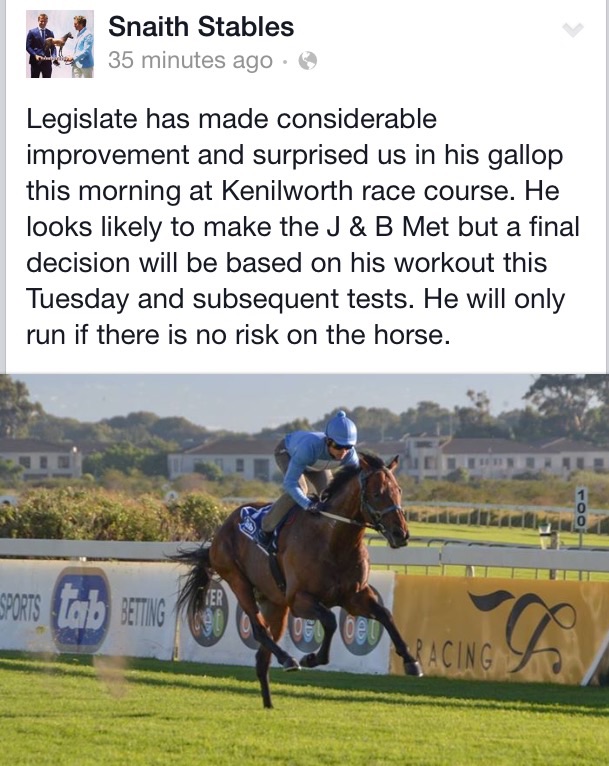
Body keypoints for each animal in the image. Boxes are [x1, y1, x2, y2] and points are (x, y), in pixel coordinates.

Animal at [172, 451, 423, 708]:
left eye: (398, 490)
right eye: (377, 493)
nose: (401, 534)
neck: (333, 540)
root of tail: (222, 529)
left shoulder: (354, 597)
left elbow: (385, 614)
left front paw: (411, 661)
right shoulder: (299, 599)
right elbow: (330, 620)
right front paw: (312, 658)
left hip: (274, 603)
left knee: (261, 657)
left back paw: (269, 703)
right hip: (238, 581)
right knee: (259, 630)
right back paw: (288, 659)